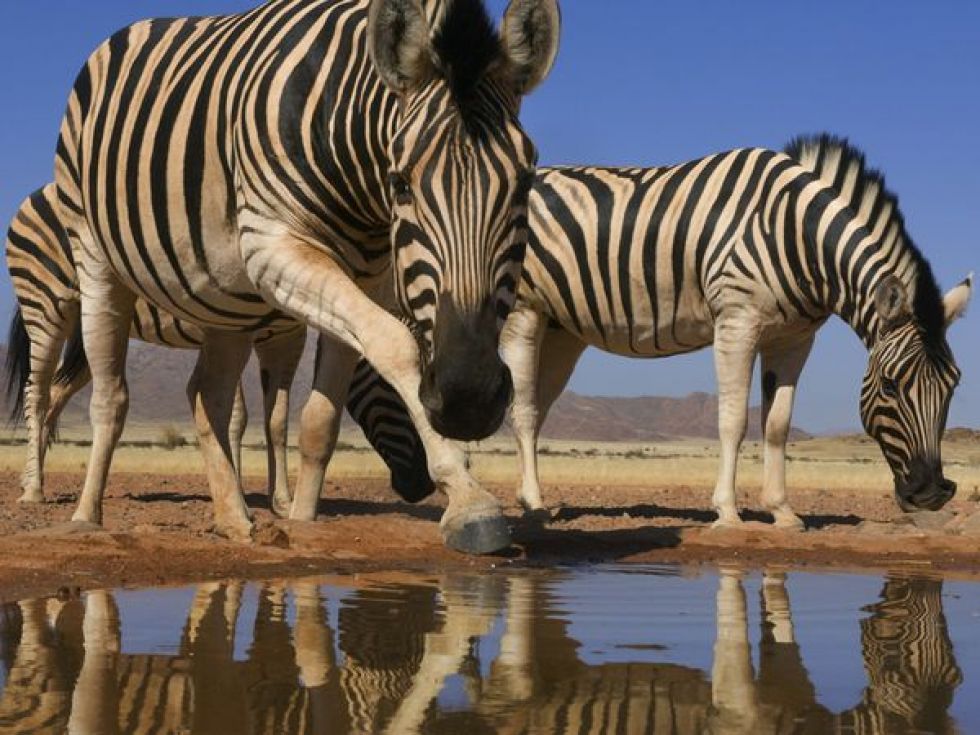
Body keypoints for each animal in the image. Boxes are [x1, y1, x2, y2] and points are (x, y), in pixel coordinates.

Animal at [4, 182, 306, 516]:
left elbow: (275, 421)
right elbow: (236, 416)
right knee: (37, 393)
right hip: (44, 304)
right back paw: (33, 490)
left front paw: (281, 502)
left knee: (56, 393)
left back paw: (31, 479)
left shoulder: (289, 334)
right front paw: (240, 493)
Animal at [51, 0, 560, 552]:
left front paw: (301, 519)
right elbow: (397, 345)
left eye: (525, 182)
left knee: (207, 393)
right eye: (400, 183)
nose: (469, 398)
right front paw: (469, 501)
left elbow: (322, 417)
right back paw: (85, 517)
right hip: (95, 256)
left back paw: (234, 520)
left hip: (224, 296)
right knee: (111, 397)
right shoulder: (272, 247)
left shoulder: (367, 276)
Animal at [338, 135, 972, 528]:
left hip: (564, 331)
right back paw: (533, 504)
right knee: (521, 409)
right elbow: (733, 420)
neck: (799, 235)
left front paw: (783, 512)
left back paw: (512, 493)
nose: (933, 493)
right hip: (524, 312)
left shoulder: (795, 336)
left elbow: (778, 426)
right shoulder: (738, 318)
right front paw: (728, 512)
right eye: (890, 386)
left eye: (953, 387)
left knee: (535, 411)